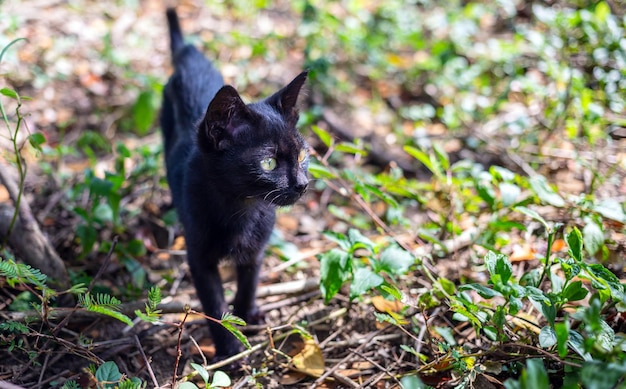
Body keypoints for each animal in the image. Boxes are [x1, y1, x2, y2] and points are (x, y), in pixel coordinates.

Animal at [160, 8, 308, 360]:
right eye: (269, 163)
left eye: (302, 155)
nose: (302, 184)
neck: (241, 206)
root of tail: (189, 55)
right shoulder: (199, 258)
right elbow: (214, 305)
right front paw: (229, 351)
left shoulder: (257, 248)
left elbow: (249, 282)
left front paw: (246, 317)